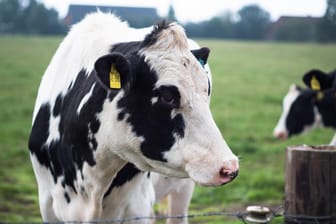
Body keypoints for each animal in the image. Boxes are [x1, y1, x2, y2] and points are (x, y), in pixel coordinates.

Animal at [28, 12, 239, 222]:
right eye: (167, 96)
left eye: (207, 91)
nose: (229, 167)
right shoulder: (48, 205)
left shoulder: (137, 207)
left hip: (182, 190)